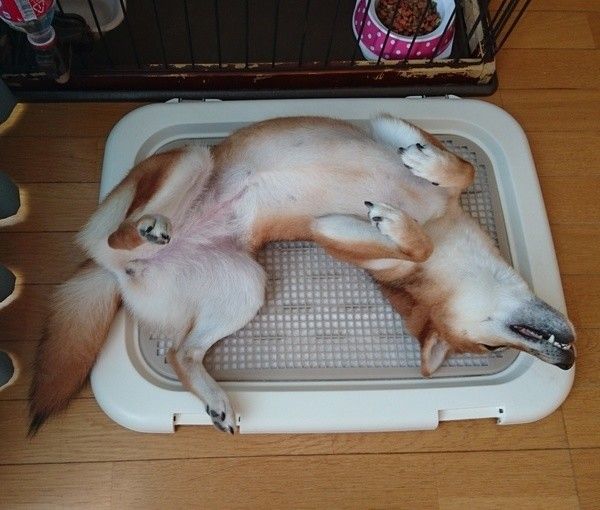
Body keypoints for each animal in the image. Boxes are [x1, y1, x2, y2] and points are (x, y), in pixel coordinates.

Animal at [29, 114, 576, 434]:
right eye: (487, 347)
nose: (567, 361)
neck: (440, 224)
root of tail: (109, 271)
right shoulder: (372, 161)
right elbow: (456, 170)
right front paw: (414, 178)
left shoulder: (329, 227)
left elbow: (427, 214)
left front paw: (400, 206)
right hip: (189, 162)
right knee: (121, 230)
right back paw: (148, 224)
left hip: (247, 285)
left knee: (181, 353)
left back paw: (214, 400)